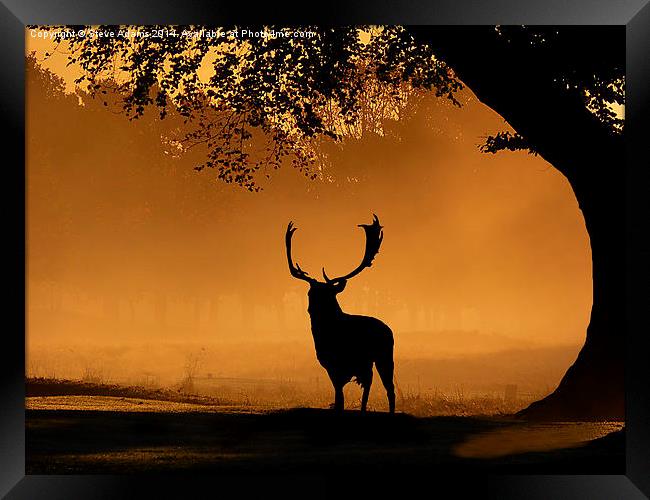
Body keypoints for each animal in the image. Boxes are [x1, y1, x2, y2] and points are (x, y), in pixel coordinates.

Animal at [284, 213, 394, 412]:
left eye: (329, 293)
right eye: (311, 293)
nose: (313, 308)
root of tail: (389, 329)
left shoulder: (357, 362)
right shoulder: (330, 365)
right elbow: (339, 397)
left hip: (384, 355)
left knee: (389, 388)